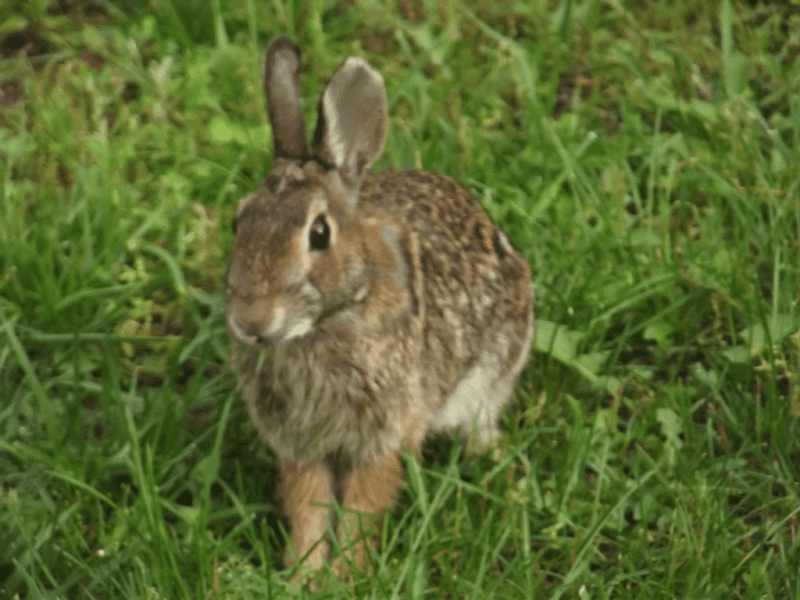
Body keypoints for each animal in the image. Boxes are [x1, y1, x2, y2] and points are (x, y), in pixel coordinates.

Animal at [225, 36, 536, 576]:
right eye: (237, 223)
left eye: (319, 234)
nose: (251, 321)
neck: (328, 321)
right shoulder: (301, 443)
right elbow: (309, 506)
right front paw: (304, 576)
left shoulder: (386, 433)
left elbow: (362, 508)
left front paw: (346, 576)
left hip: (494, 369)